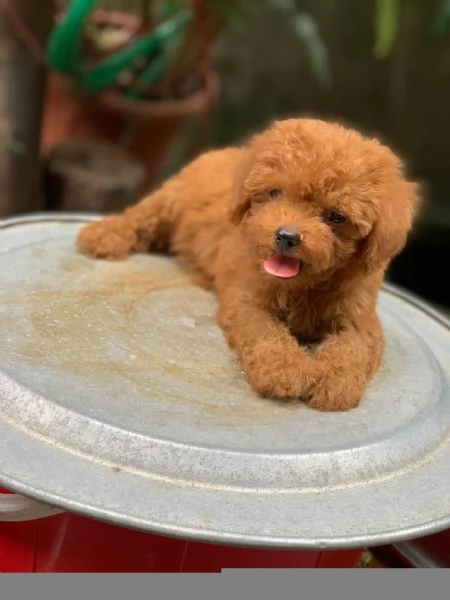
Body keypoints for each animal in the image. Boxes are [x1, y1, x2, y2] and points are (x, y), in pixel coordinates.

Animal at [76, 119, 418, 410]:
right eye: (275, 193)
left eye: (336, 217)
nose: (286, 236)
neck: (303, 286)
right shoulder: (247, 301)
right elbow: (265, 332)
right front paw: (285, 371)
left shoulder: (360, 317)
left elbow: (354, 347)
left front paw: (336, 382)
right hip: (170, 200)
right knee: (140, 216)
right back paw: (103, 235)